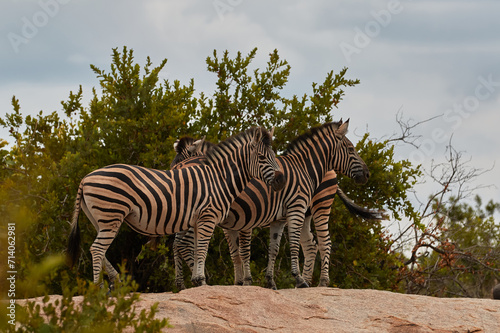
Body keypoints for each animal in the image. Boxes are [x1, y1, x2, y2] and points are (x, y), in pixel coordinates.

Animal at [67, 126, 286, 286]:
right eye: (262, 158)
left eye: (274, 155)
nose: (281, 181)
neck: (218, 179)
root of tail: (84, 179)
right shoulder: (208, 217)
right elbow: (202, 249)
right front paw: (202, 281)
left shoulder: (198, 221)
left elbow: (197, 248)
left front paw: (198, 280)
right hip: (111, 215)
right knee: (96, 249)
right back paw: (97, 289)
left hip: (100, 219)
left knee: (98, 249)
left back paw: (115, 281)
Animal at [170, 119, 384, 288]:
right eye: (351, 149)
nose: (367, 174)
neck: (304, 167)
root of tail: (331, 171)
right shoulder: (246, 219)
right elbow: (244, 251)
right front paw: (247, 282)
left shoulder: (252, 217)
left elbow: (253, 250)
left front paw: (248, 281)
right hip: (310, 211)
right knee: (313, 244)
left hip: (320, 206)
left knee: (323, 242)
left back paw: (320, 282)